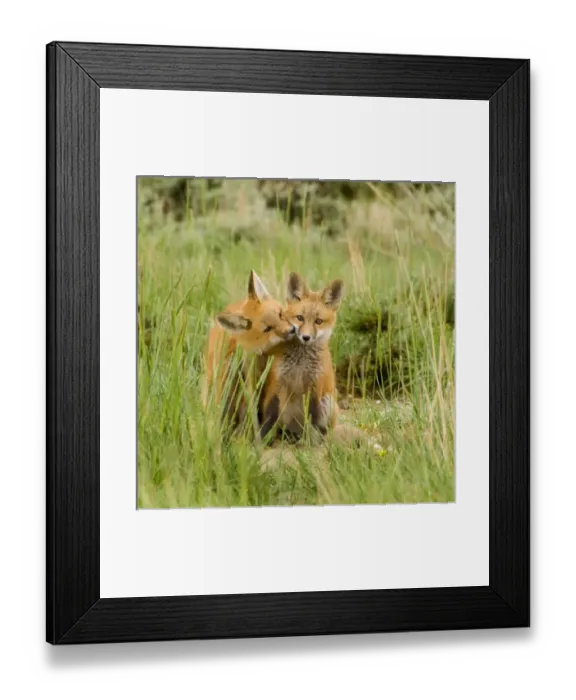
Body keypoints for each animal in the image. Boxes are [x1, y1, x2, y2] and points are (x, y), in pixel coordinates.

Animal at [259, 272, 344, 443]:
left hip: (328, 401)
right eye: (300, 318)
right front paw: (262, 439)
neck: (300, 364)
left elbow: (313, 418)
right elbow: (270, 415)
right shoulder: (278, 383)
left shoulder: (314, 387)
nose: (306, 337)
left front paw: (311, 443)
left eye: (318, 321)